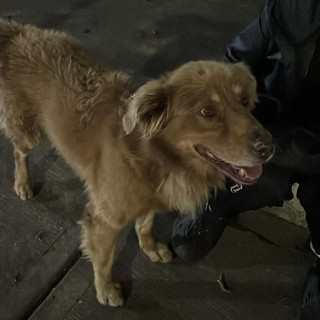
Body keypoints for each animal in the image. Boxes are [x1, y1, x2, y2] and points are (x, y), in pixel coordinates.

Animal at [0, 18, 274, 306]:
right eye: (207, 112)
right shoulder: (103, 221)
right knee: (19, 152)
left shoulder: (149, 200)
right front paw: (106, 290)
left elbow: (145, 225)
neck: (154, 158)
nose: (268, 147)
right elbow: (104, 260)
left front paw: (150, 248)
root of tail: (19, 33)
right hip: (28, 132)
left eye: (245, 100)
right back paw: (23, 183)